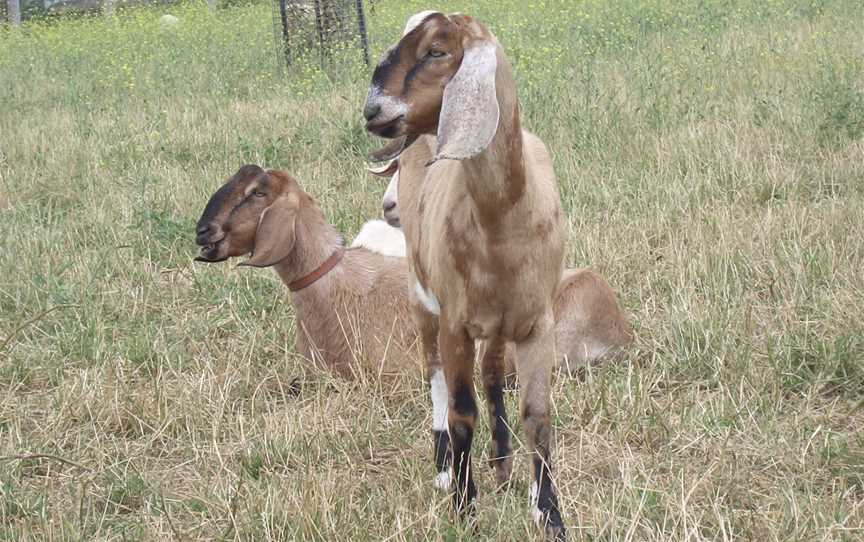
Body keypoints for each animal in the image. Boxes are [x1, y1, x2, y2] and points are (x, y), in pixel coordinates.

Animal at [362, 10, 568, 540]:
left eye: (436, 51)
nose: (372, 110)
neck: (503, 219)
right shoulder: (455, 322)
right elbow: (461, 413)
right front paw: (463, 503)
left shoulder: (537, 324)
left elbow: (537, 416)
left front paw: (548, 513)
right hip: (423, 298)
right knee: (434, 375)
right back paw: (445, 469)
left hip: (496, 326)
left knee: (493, 374)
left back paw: (502, 462)